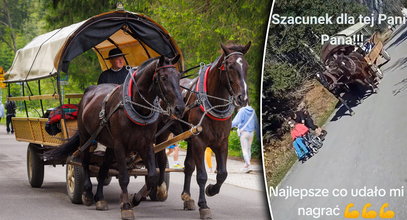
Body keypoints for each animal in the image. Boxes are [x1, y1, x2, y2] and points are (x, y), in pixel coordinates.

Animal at [45, 55, 184, 220]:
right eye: (163, 77)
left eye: (179, 76)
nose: (180, 108)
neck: (136, 107)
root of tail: (89, 91)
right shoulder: (120, 146)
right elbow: (124, 177)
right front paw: (126, 207)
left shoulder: (146, 145)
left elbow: (152, 176)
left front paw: (135, 199)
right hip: (86, 137)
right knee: (84, 162)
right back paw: (87, 194)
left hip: (110, 146)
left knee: (103, 170)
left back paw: (100, 198)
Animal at [155, 42, 253, 219]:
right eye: (230, 66)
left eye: (246, 66)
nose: (243, 98)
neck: (212, 104)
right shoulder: (199, 142)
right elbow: (201, 176)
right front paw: (204, 205)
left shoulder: (221, 142)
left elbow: (222, 174)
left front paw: (211, 190)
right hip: (163, 133)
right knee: (159, 158)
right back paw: (159, 189)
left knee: (188, 166)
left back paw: (187, 197)